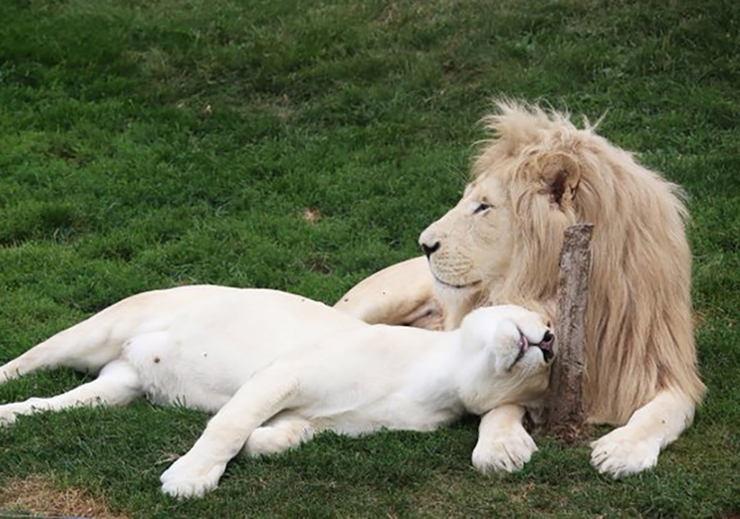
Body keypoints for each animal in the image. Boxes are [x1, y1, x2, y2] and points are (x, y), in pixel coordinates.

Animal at [0, 286, 552, 502]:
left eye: (548, 368)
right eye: (545, 325)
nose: (547, 342)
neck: (445, 375)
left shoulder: (321, 419)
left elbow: (280, 437)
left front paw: (255, 446)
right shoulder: (284, 372)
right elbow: (228, 424)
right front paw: (189, 479)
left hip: (116, 388)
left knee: (53, 404)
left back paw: (11, 415)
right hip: (95, 332)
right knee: (24, 361)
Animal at [336, 100, 704, 480]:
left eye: (483, 206)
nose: (425, 244)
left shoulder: (665, 369)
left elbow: (661, 412)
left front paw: (623, 450)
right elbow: (501, 405)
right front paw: (501, 446)